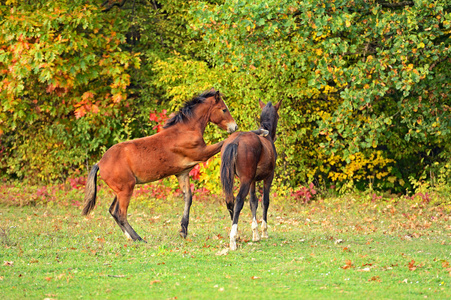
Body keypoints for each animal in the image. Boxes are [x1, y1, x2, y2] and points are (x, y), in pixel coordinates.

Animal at [84, 88, 240, 241]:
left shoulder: (182, 173)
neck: (185, 130)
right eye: (224, 109)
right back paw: (138, 239)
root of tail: (100, 163)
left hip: (121, 190)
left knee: (112, 211)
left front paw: (183, 230)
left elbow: (188, 198)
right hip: (126, 189)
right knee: (120, 213)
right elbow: (221, 144)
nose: (234, 126)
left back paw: (130, 237)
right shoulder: (201, 153)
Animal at [220, 99, 280, 251]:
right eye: (278, 116)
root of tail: (236, 141)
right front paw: (264, 232)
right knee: (239, 200)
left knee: (230, 201)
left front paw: (255, 233)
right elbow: (265, 201)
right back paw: (233, 239)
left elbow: (253, 202)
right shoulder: (268, 177)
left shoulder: (253, 180)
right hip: (245, 181)